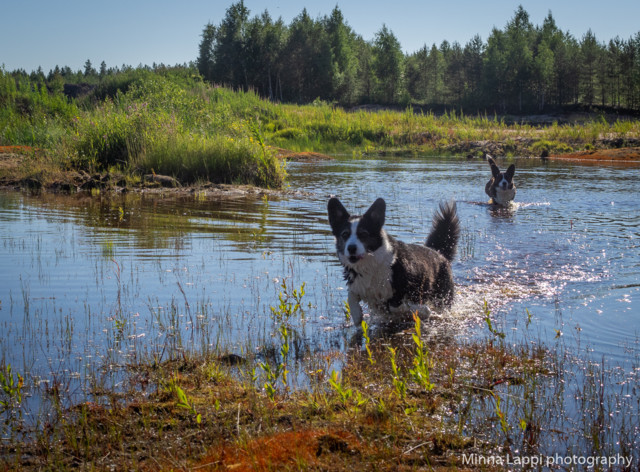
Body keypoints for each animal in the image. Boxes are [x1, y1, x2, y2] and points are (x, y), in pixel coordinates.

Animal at [328, 197, 458, 326]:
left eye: (363, 234)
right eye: (345, 234)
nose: (351, 248)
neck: (370, 264)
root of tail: (438, 253)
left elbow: (396, 306)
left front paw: (422, 310)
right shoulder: (358, 284)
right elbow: (351, 296)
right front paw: (357, 315)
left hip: (442, 296)